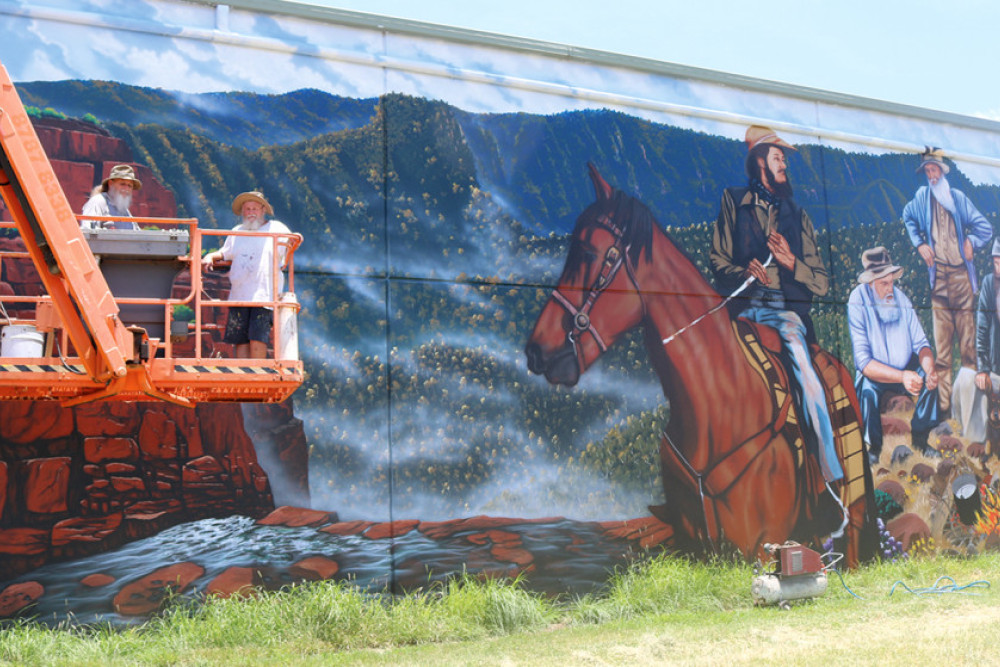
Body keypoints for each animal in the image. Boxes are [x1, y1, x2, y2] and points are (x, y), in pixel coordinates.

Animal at [524, 164, 876, 568]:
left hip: (852, 524)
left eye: (588, 252)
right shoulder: (693, 546)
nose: (537, 350)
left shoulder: (760, 545)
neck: (718, 402)